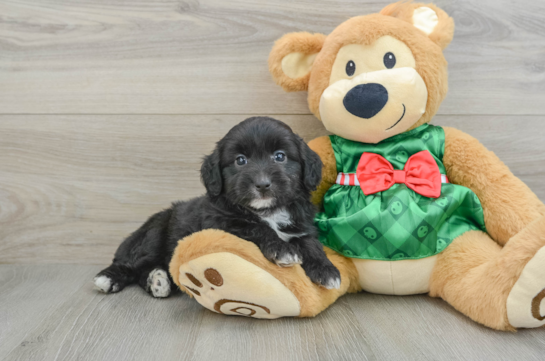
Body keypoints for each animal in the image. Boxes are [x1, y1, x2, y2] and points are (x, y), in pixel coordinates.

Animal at [93, 116, 340, 296]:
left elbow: (311, 244)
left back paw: (159, 281)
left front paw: (326, 270)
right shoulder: (222, 223)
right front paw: (282, 249)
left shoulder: (301, 226)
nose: (262, 184)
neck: (267, 211)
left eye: (280, 156)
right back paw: (109, 278)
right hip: (153, 233)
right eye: (240, 160)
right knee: (132, 263)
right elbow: (256, 227)